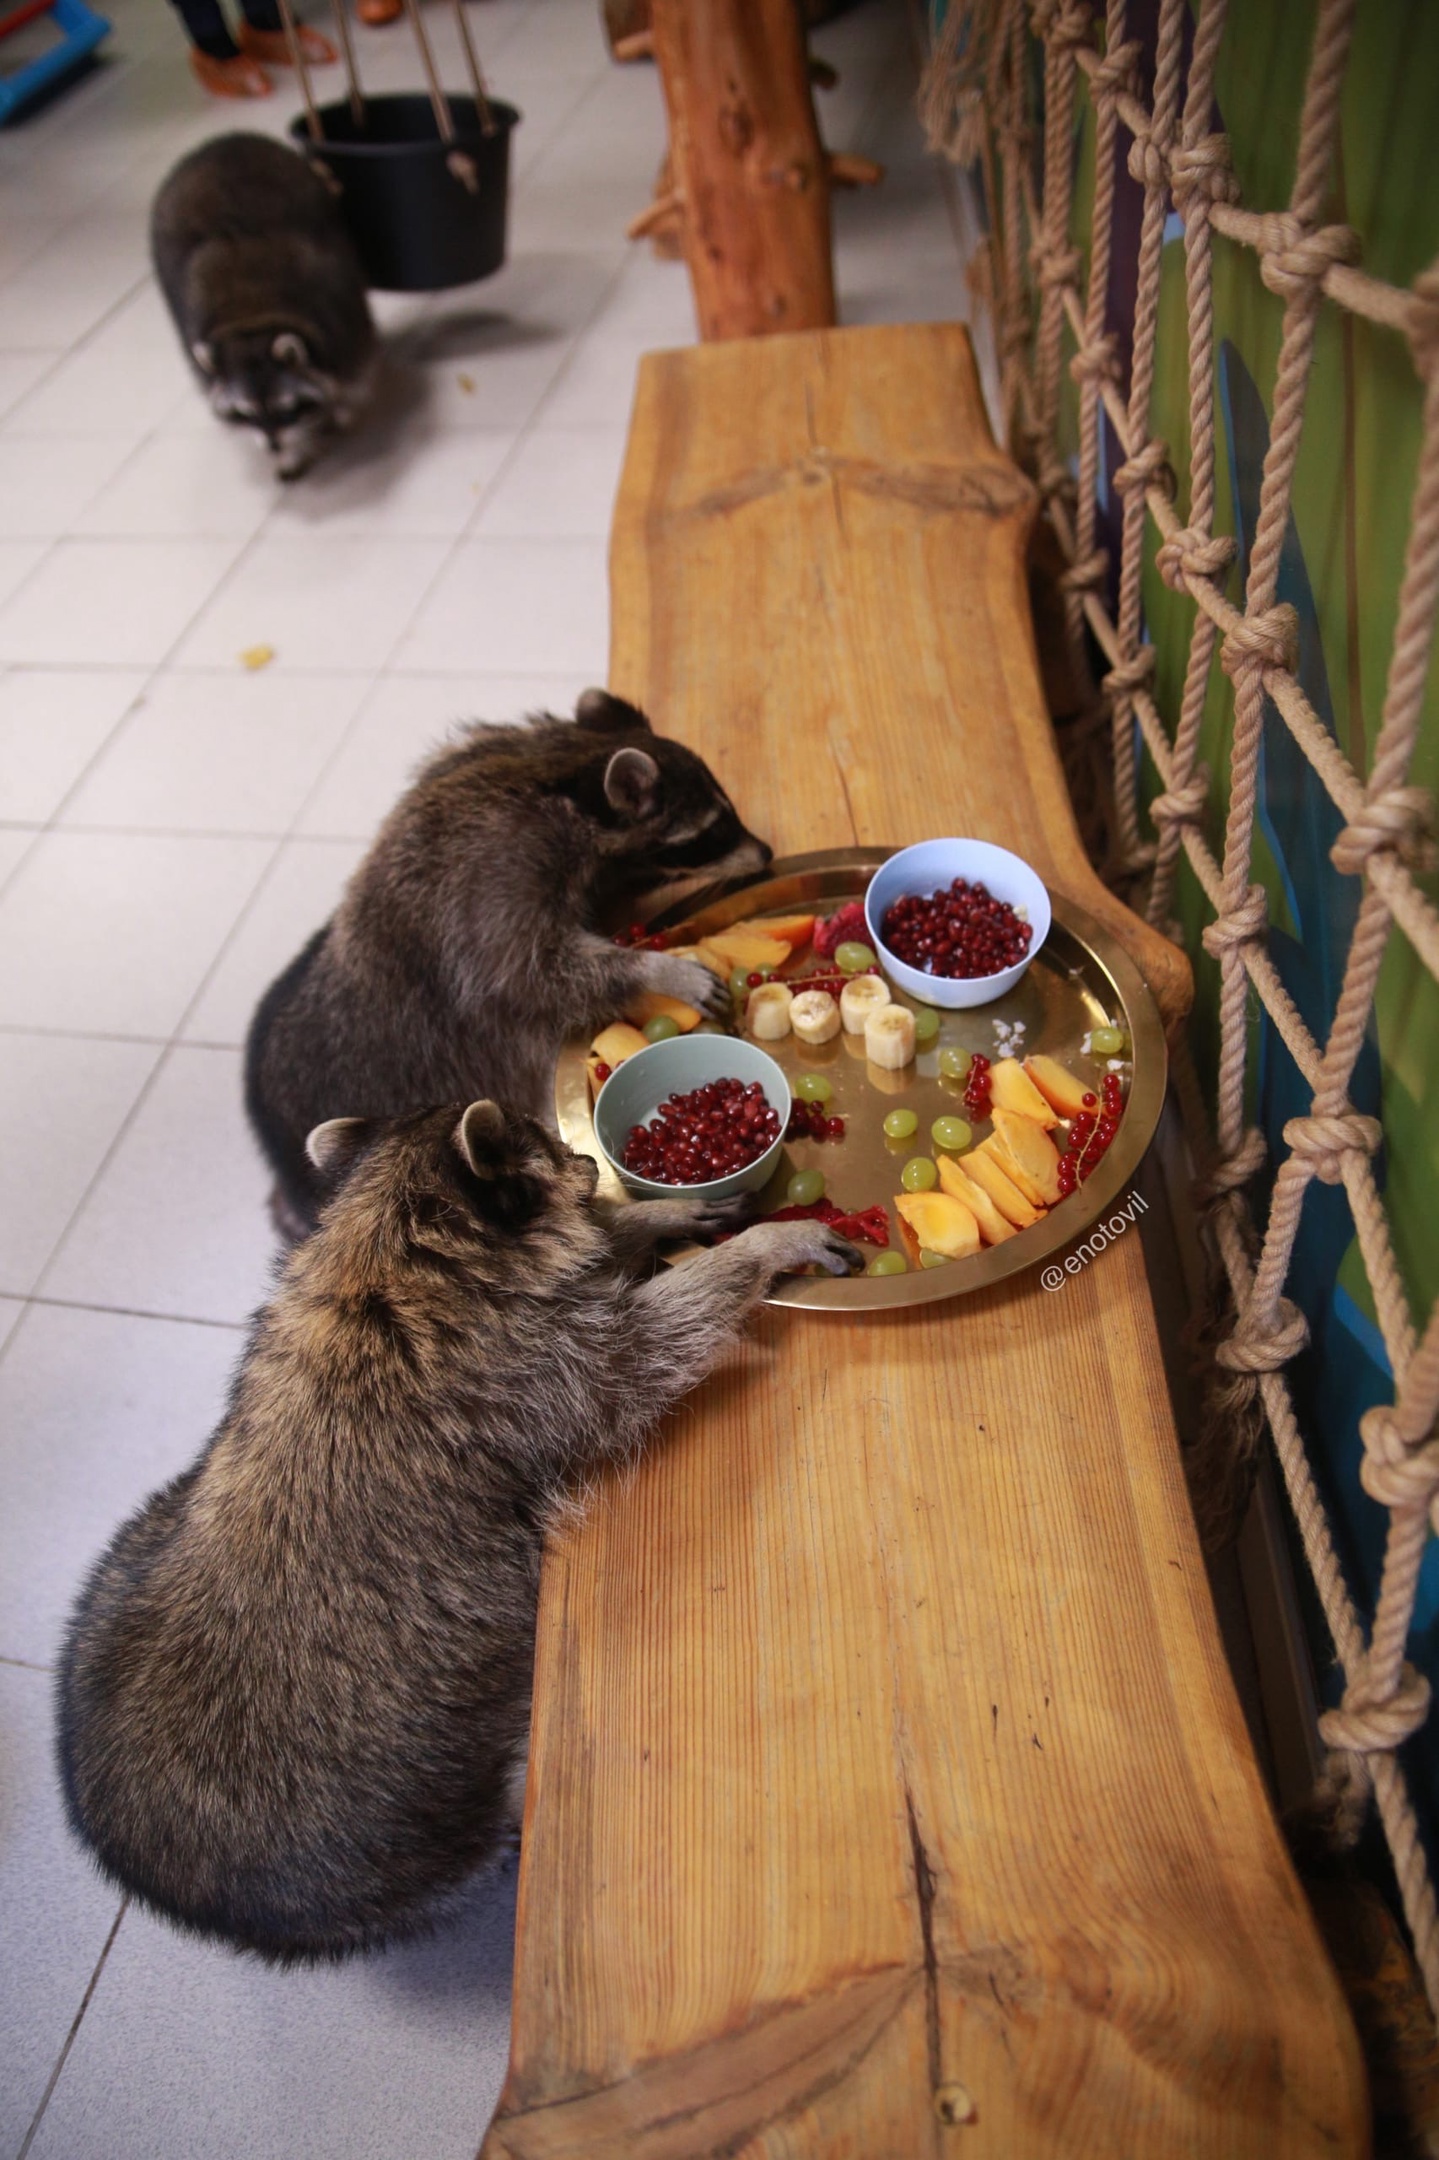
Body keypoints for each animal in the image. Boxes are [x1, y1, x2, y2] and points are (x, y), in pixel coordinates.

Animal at [56, 1097, 855, 1961]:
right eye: (547, 1148)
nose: (585, 1162)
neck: (383, 1240)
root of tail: (135, 1860)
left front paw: (649, 1214)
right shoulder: (533, 1366)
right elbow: (645, 1350)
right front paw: (758, 1248)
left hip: (131, 1550)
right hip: (387, 1843)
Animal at [150, 135, 375, 481]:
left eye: (286, 409)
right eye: (246, 413)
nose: (273, 446)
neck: (249, 321)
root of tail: (223, 141)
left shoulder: (340, 309)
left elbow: (353, 373)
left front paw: (339, 409)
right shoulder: (195, 339)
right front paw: (290, 454)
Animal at [244, 682, 773, 1244]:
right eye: (713, 831)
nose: (765, 852)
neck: (562, 767)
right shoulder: (497, 886)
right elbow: (530, 975)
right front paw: (654, 969)